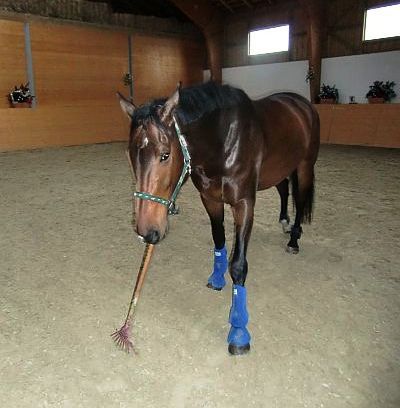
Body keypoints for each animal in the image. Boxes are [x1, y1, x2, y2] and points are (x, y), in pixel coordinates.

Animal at [118, 81, 320, 355]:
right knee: (283, 189)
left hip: (305, 166)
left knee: (300, 200)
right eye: (130, 155)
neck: (223, 141)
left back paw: (294, 238)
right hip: (280, 169)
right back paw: (283, 221)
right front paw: (216, 277)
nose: (146, 231)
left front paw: (239, 331)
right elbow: (219, 239)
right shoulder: (210, 199)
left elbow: (239, 265)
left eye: (165, 155)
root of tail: (300, 102)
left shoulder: (244, 205)